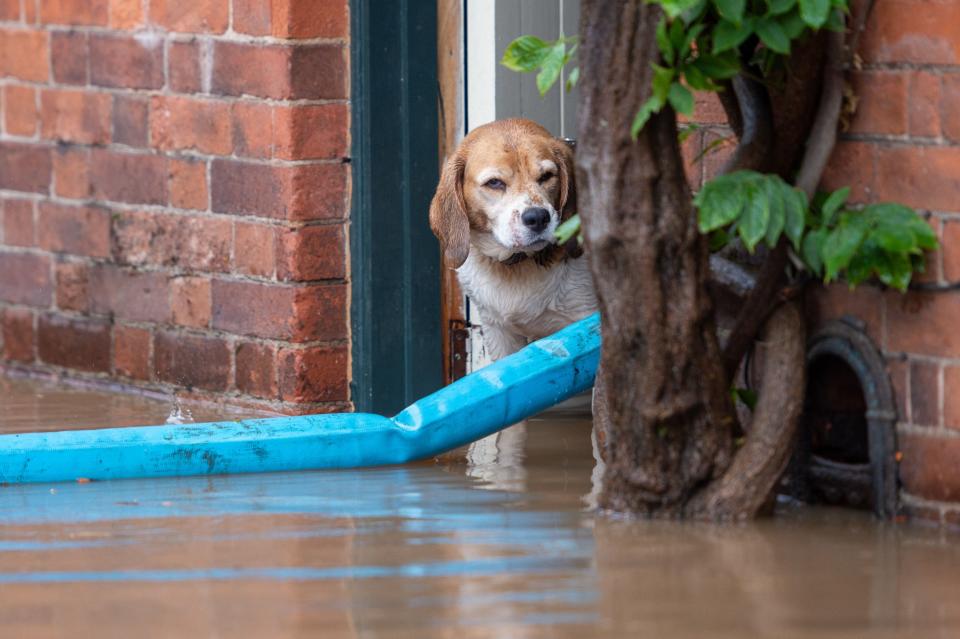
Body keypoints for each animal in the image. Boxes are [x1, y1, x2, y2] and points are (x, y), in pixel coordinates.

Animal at [432, 119, 596, 360]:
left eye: (547, 176)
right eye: (494, 183)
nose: (538, 218)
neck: (516, 264)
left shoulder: (584, 318)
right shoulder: (498, 333)